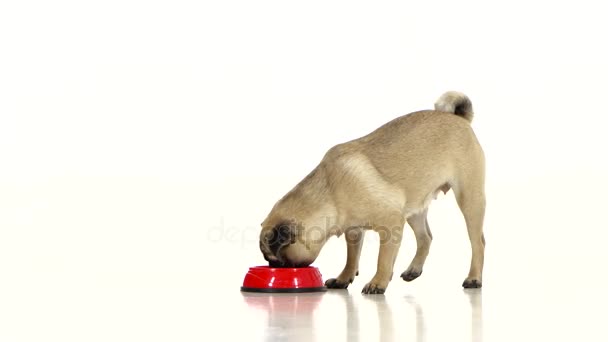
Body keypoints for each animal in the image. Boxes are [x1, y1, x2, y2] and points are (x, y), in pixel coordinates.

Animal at [258, 91, 486, 294]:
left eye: (278, 260)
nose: (272, 266)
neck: (329, 193)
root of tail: (458, 118)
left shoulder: (391, 224)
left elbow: (383, 259)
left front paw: (378, 282)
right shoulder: (354, 231)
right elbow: (351, 258)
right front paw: (344, 278)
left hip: (469, 199)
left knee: (478, 243)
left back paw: (473, 278)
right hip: (414, 208)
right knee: (425, 238)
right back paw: (414, 270)